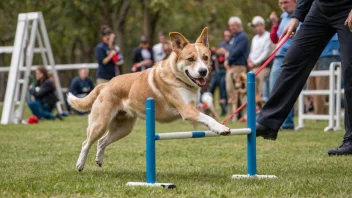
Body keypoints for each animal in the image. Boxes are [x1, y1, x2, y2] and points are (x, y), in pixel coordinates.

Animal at [67, 27, 231, 172]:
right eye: (190, 59)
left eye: (205, 58)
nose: (203, 71)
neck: (178, 78)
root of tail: (105, 84)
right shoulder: (187, 110)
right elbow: (208, 118)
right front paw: (221, 128)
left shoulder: (193, 108)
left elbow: (205, 116)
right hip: (100, 124)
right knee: (86, 142)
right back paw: (80, 165)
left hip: (123, 128)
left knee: (102, 142)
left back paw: (99, 160)